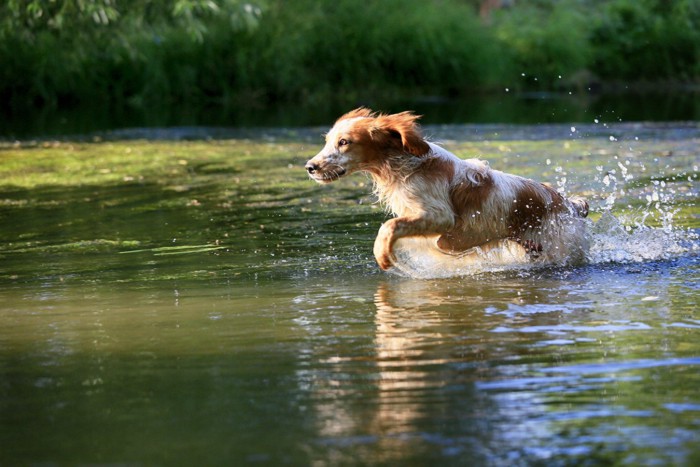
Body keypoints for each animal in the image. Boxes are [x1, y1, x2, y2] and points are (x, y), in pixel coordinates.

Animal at [306, 108, 592, 272]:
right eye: (328, 141)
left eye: (344, 142)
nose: (310, 167)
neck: (407, 165)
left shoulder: (441, 217)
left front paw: (383, 254)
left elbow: (389, 226)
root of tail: (570, 204)